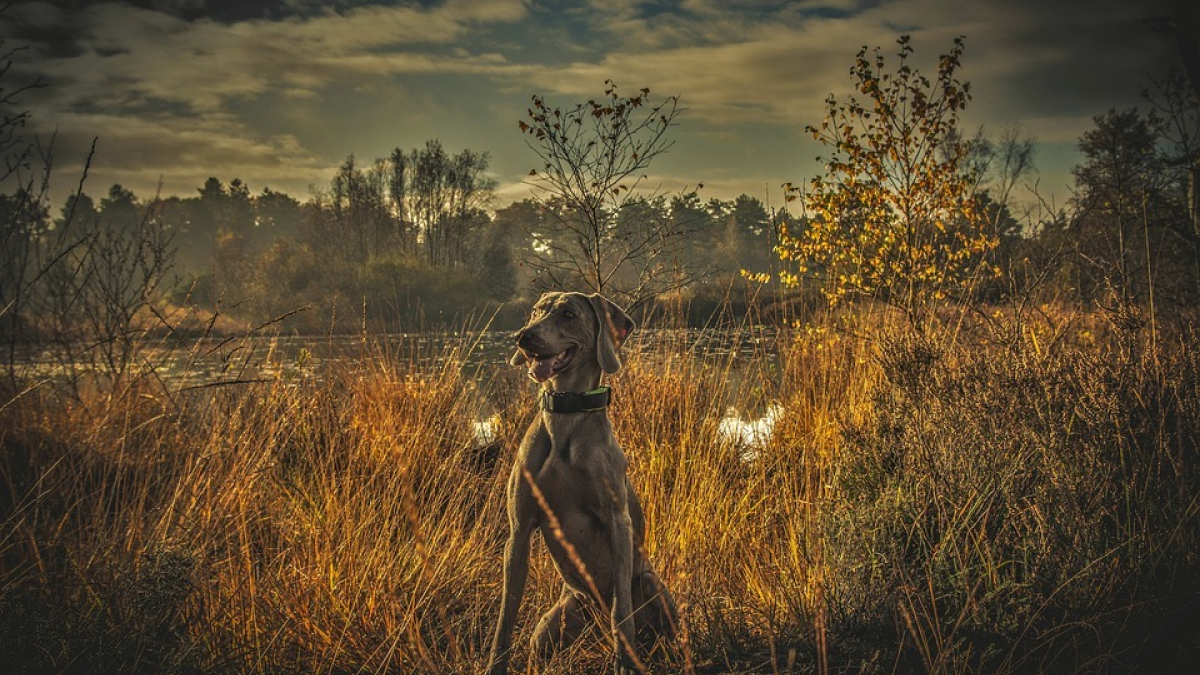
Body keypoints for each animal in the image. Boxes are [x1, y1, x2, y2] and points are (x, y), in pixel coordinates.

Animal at [484, 290, 676, 672]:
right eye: (535, 312)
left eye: (569, 314)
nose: (523, 336)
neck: (565, 414)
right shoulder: (519, 529)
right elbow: (506, 614)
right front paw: (494, 664)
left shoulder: (618, 522)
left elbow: (621, 611)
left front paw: (625, 663)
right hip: (555, 621)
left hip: (652, 584)